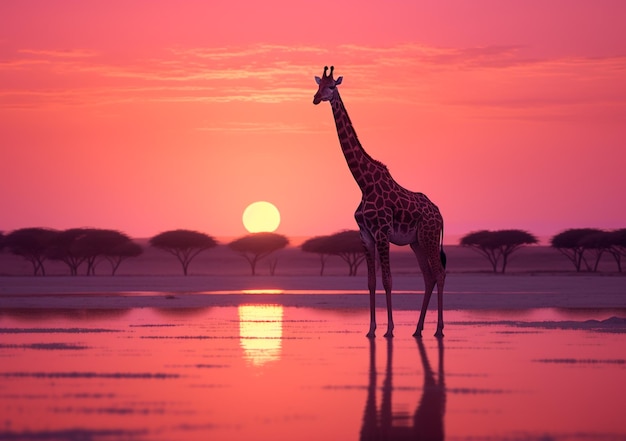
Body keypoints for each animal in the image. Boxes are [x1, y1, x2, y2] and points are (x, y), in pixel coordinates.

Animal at [312, 65, 444, 336]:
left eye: (331, 86)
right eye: (318, 85)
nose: (316, 99)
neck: (364, 183)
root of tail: (440, 214)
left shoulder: (382, 233)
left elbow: (388, 280)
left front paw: (389, 329)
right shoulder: (365, 235)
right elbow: (371, 282)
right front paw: (371, 329)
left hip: (429, 236)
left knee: (439, 273)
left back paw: (438, 329)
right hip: (416, 241)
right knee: (429, 276)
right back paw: (418, 329)